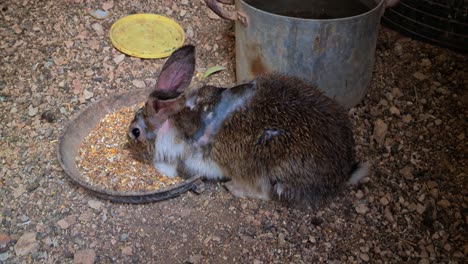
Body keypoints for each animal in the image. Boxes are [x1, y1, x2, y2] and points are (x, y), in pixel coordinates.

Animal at [128, 45, 370, 202]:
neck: (171, 123)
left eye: (135, 131)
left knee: (264, 193)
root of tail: (341, 174)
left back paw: (232, 188)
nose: (128, 146)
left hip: (265, 164)